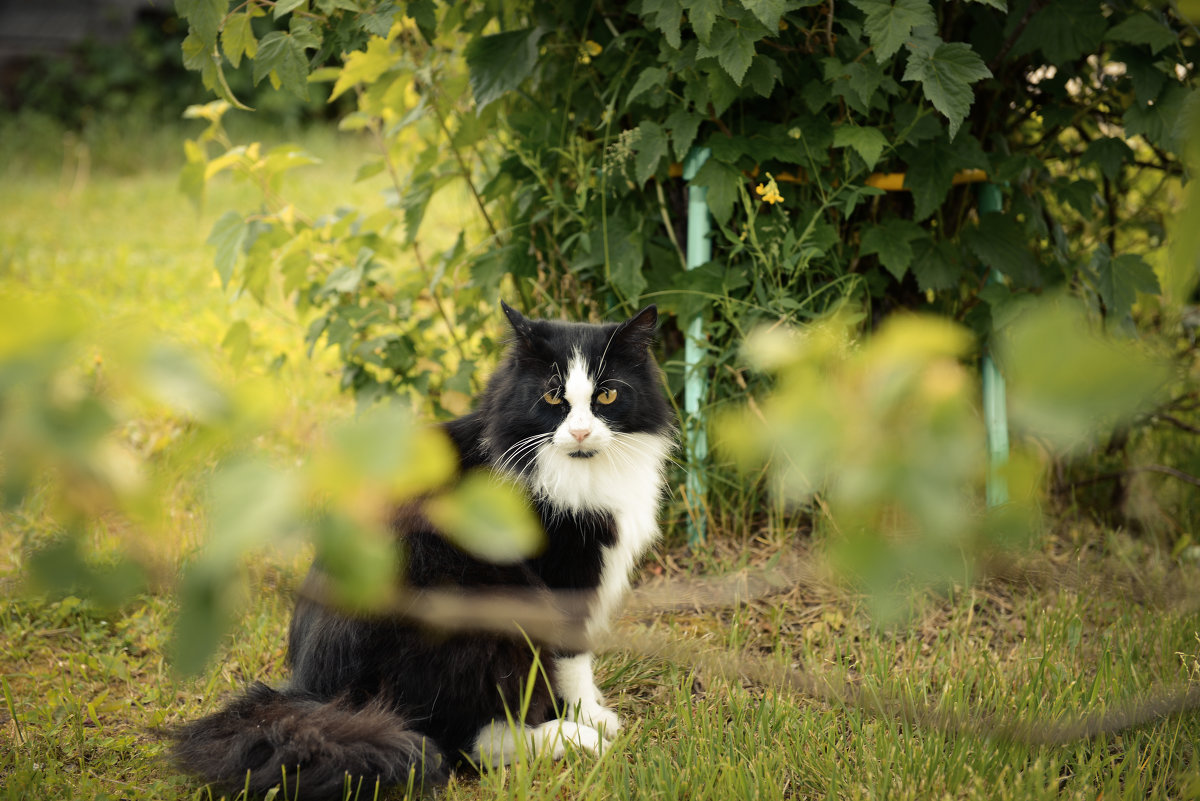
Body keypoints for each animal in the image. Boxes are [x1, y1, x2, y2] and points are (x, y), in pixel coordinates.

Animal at [175, 302, 676, 801]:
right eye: (553, 398)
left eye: (606, 396)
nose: (580, 432)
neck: (578, 471)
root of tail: (317, 699)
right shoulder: (566, 575)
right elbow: (574, 660)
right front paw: (592, 717)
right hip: (474, 606)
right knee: (456, 743)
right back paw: (571, 739)